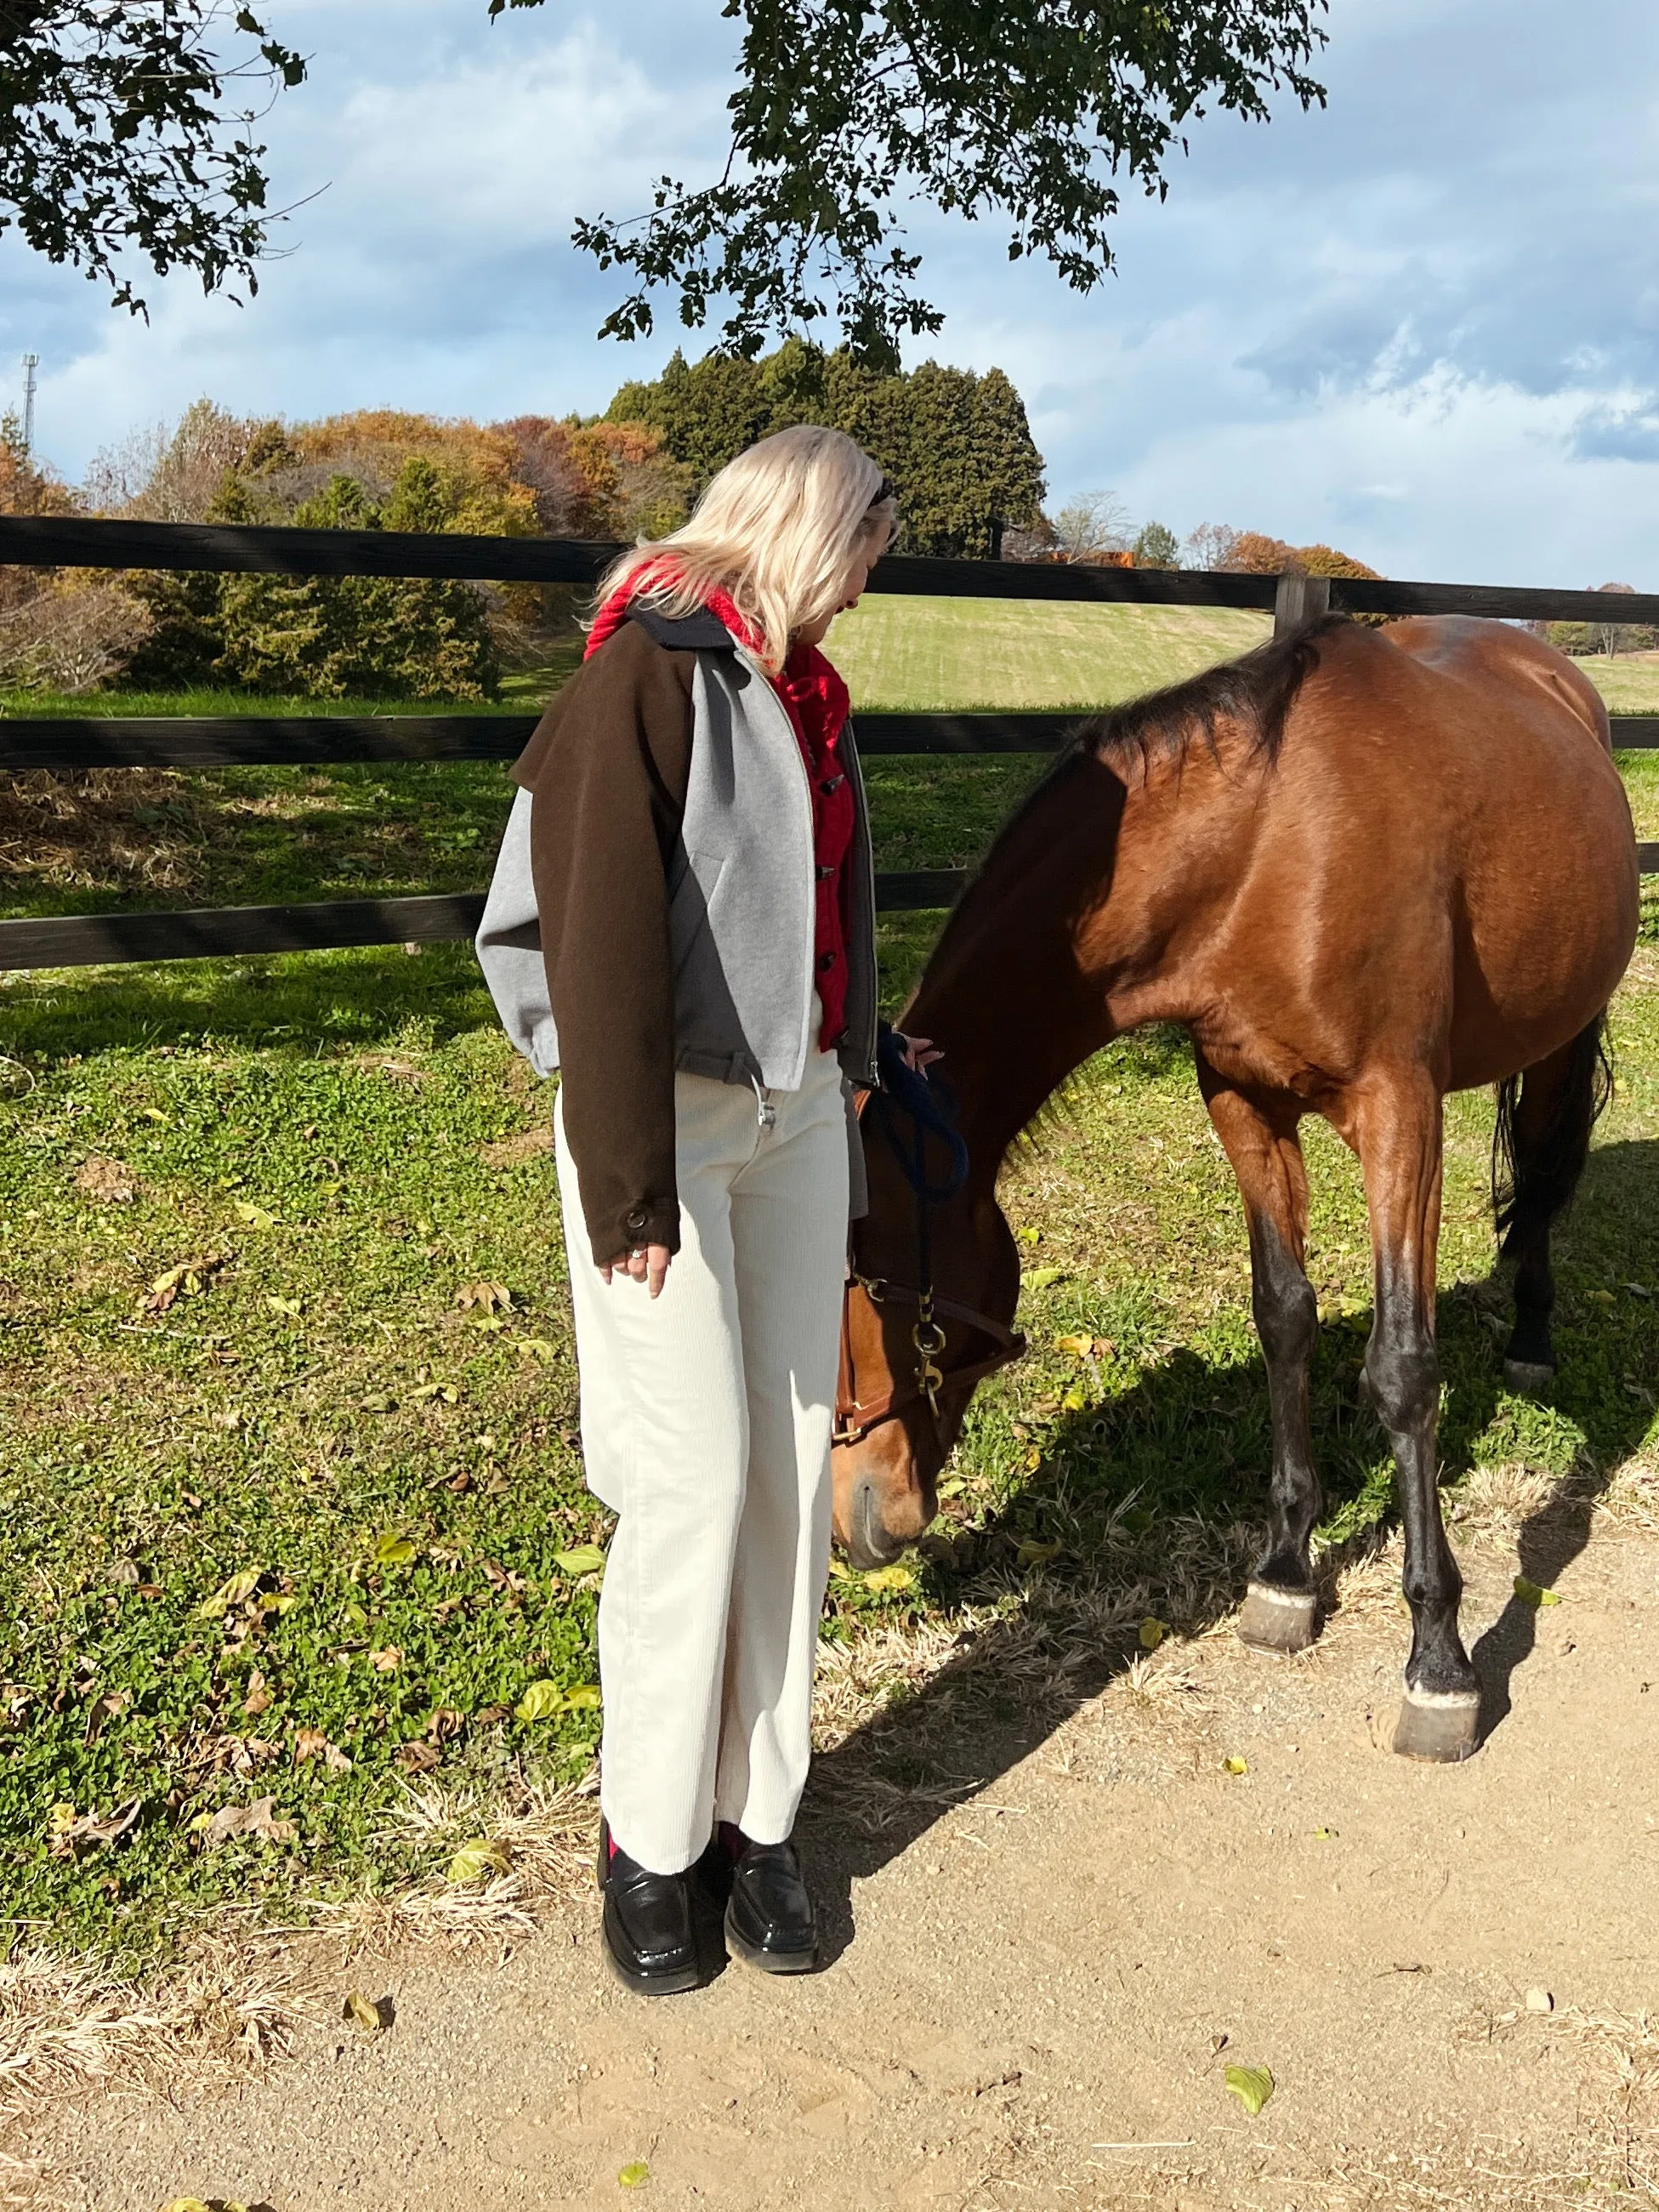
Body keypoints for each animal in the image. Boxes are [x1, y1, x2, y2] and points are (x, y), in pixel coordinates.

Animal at [836, 615, 1645, 1751]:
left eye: (863, 1282)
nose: (861, 1522)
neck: (1265, 849)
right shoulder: (1242, 1104)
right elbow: (1284, 1318)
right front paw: (1286, 1571)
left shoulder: (1401, 1116)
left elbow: (1403, 1370)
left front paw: (1437, 1658)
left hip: (1562, 1039)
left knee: (1536, 1174)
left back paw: (1532, 1332)